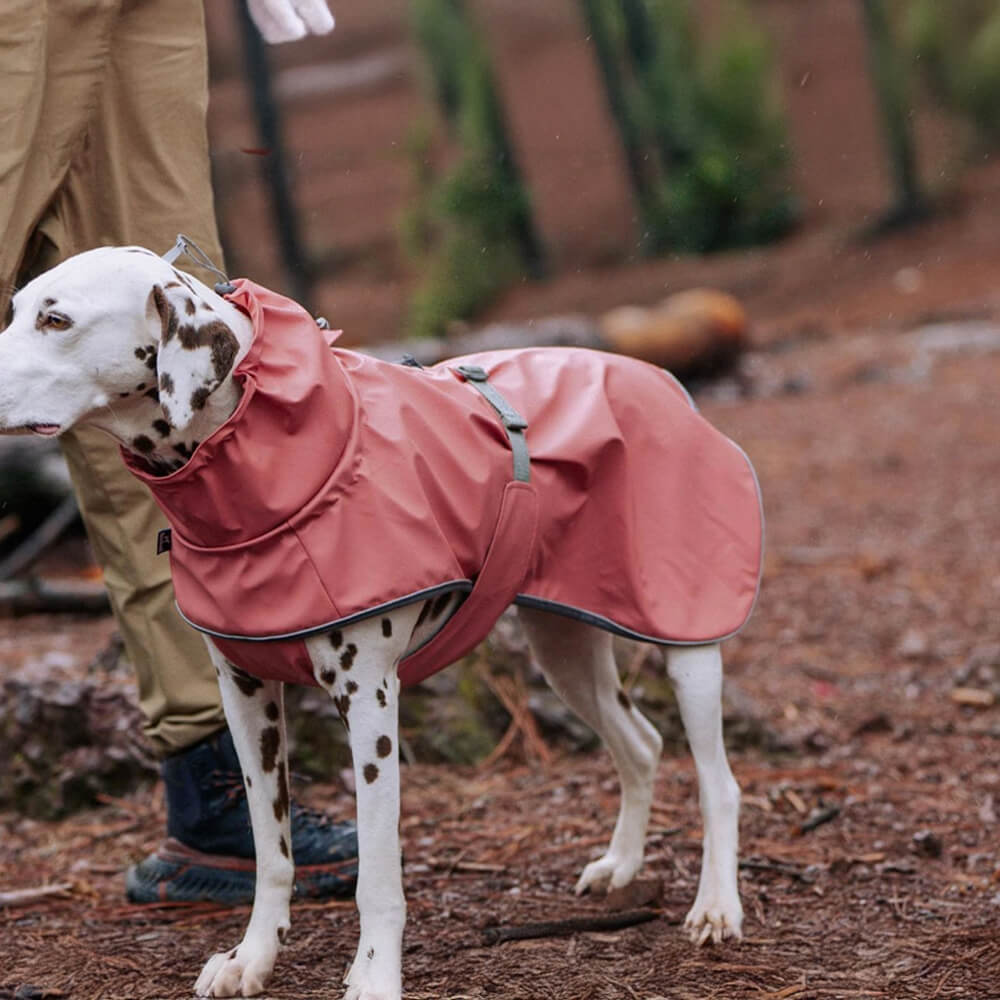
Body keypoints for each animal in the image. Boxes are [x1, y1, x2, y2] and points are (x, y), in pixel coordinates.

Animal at [0, 244, 744, 1000]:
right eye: (16, 307)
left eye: (56, 319)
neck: (274, 463)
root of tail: (661, 378)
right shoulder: (246, 699)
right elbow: (271, 852)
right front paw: (252, 957)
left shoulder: (369, 702)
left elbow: (379, 876)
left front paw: (376, 973)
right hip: (565, 652)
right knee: (641, 745)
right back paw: (621, 865)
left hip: (688, 642)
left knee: (719, 781)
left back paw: (716, 906)